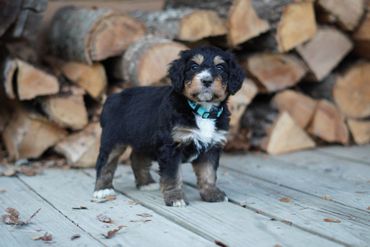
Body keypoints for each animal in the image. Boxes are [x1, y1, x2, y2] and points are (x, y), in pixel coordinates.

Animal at [92, 46, 244, 206]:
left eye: (220, 67)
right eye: (194, 67)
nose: (206, 80)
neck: (202, 110)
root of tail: (112, 97)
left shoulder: (212, 146)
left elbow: (208, 173)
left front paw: (212, 193)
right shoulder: (171, 146)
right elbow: (173, 175)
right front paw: (175, 197)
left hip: (145, 139)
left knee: (137, 158)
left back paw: (146, 183)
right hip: (113, 139)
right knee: (104, 163)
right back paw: (102, 190)